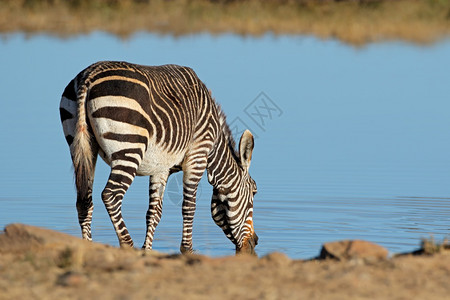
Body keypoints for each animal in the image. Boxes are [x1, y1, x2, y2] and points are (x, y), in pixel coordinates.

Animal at [59, 61, 260, 255]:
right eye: (254, 192)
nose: (256, 241)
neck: (213, 145)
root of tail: (88, 76)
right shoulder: (197, 157)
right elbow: (189, 207)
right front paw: (187, 249)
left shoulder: (161, 168)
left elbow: (154, 212)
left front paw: (147, 249)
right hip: (129, 147)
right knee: (111, 195)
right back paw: (127, 244)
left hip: (82, 148)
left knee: (84, 201)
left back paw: (88, 247)